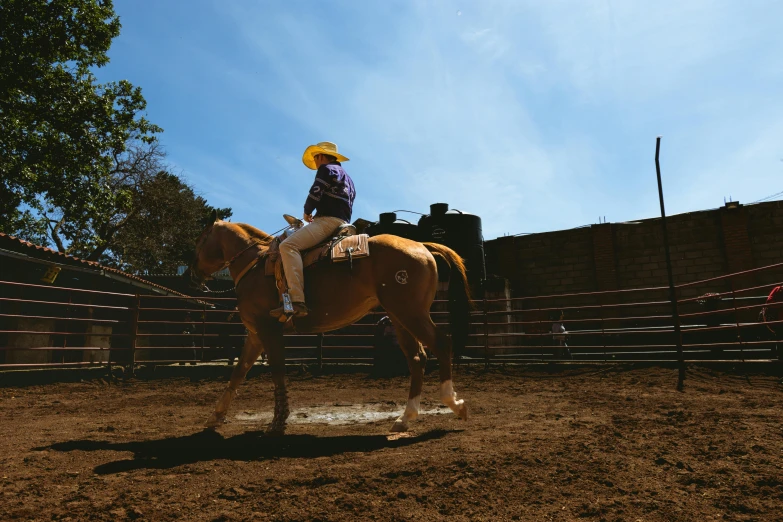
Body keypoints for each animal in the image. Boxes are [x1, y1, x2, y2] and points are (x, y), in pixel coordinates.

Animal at [185, 209, 472, 432]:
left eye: (199, 239)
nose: (192, 275)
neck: (255, 263)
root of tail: (423, 246)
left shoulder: (269, 330)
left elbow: (277, 371)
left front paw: (278, 421)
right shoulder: (255, 334)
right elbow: (238, 373)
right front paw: (215, 416)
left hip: (411, 313)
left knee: (441, 344)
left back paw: (454, 404)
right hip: (399, 317)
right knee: (416, 358)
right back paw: (405, 418)